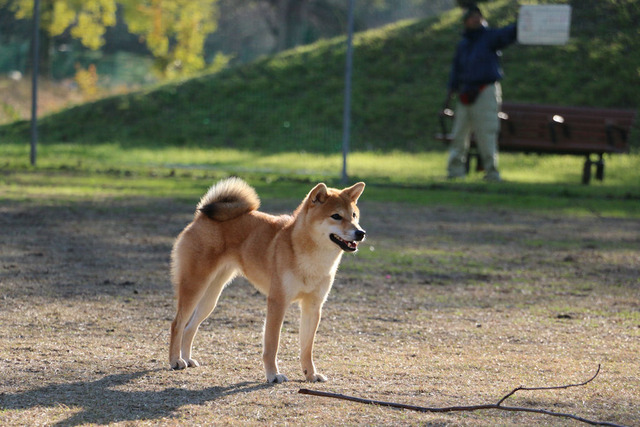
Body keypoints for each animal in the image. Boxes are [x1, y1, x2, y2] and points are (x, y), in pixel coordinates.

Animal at [169, 177, 364, 384]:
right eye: (336, 216)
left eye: (354, 215)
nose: (361, 233)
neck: (309, 255)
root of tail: (200, 217)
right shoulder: (278, 302)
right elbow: (272, 344)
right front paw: (273, 374)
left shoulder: (313, 306)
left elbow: (307, 348)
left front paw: (310, 374)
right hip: (194, 286)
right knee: (177, 324)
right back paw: (175, 361)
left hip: (210, 298)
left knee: (190, 327)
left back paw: (187, 358)